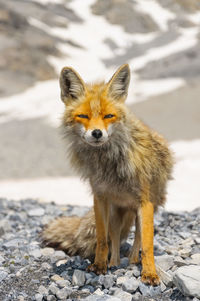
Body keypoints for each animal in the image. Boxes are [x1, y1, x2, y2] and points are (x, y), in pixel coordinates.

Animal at [42, 63, 173, 284]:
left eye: (108, 116)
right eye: (83, 116)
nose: (97, 133)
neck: (109, 165)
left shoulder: (144, 202)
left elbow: (147, 245)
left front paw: (149, 273)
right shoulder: (100, 197)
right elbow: (102, 239)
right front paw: (99, 266)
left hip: (145, 209)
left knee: (138, 238)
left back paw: (133, 261)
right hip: (115, 213)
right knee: (115, 237)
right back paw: (114, 263)